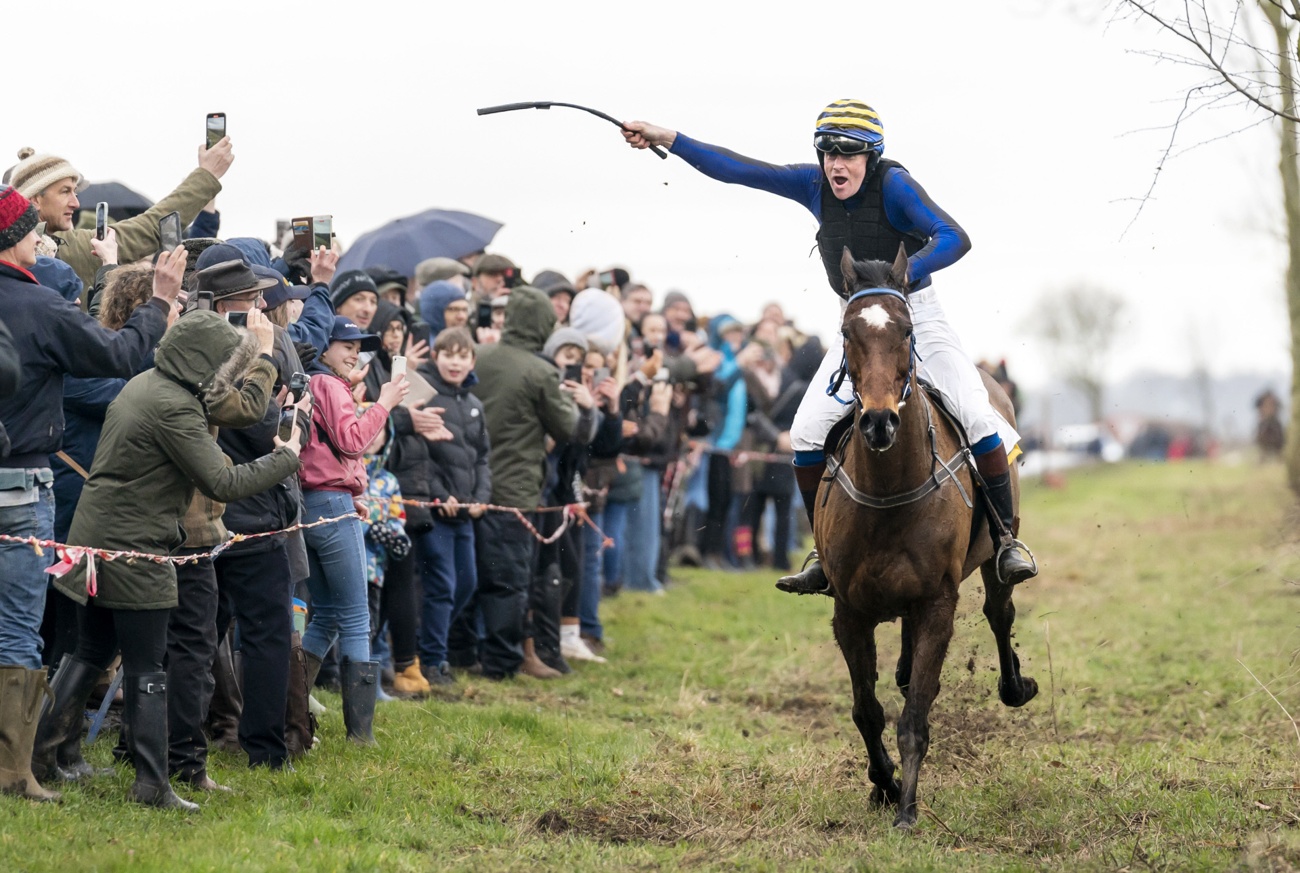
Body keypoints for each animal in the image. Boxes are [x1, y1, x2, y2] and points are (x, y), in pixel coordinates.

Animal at [816, 244, 1040, 826]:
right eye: (847, 331)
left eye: (907, 330)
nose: (878, 422)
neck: (891, 492)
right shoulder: (849, 609)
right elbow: (867, 710)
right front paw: (884, 784)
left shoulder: (939, 600)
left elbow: (915, 711)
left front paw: (908, 808)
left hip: (996, 550)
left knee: (999, 612)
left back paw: (1015, 685)